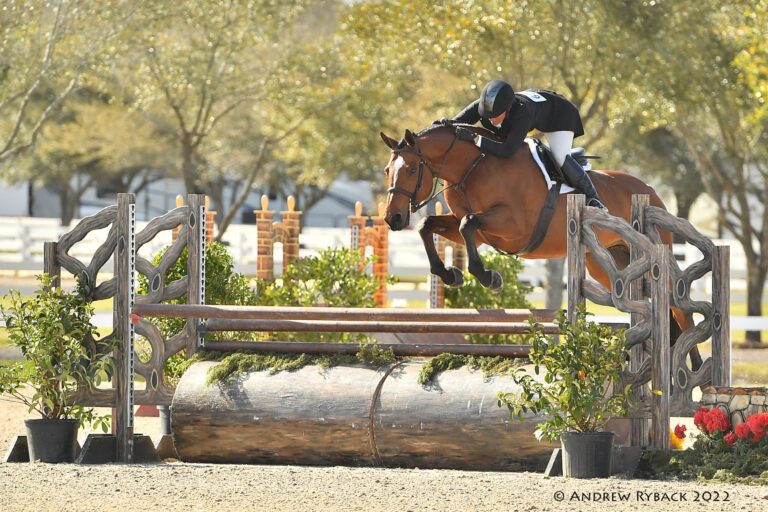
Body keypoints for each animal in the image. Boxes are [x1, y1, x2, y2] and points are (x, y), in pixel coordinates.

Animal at [380, 122, 704, 366]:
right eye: (387, 170)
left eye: (412, 170)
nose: (392, 218)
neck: (472, 167)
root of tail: (649, 189)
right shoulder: (481, 232)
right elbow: (430, 225)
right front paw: (450, 274)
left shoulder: (514, 227)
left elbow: (467, 223)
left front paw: (489, 277)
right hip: (608, 264)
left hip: (654, 255)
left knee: (680, 310)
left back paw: (694, 373)